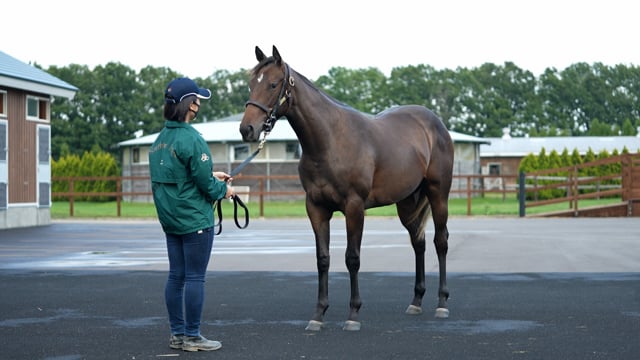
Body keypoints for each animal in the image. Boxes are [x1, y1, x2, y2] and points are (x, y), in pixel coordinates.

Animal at [240, 45, 456, 332]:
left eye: (273, 84)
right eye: (252, 84)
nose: (247, 129)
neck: (329, 141)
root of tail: (435, 124)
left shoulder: (354, 208)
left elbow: (352, 258)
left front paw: (353, 314)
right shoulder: (316, 208)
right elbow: (322, 259)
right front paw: (318, 314)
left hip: (438, 193)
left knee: (440, 241)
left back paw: (442, 303)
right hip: (407, 201)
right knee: (418, 242)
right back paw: (416, 301)